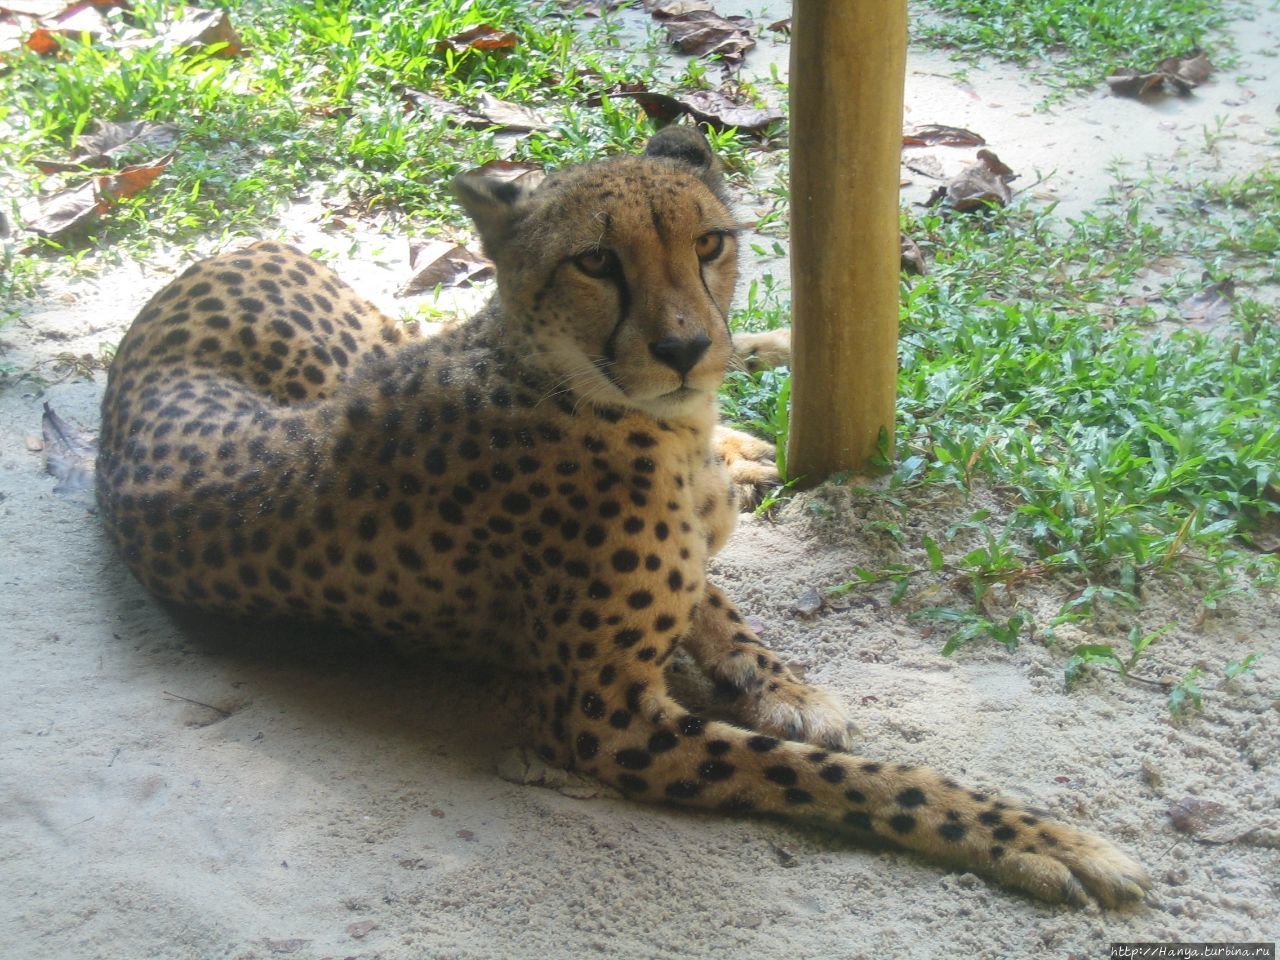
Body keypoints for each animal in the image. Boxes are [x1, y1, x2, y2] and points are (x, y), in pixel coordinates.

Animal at [94, 128, 1146, 911]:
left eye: (709, 243)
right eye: (596, 261)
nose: (684, 346)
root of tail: (214, 256)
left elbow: (719, 598)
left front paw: (784, 682)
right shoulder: (604, 721)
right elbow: (850, 778)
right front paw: (1038, 838)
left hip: (369, 342)